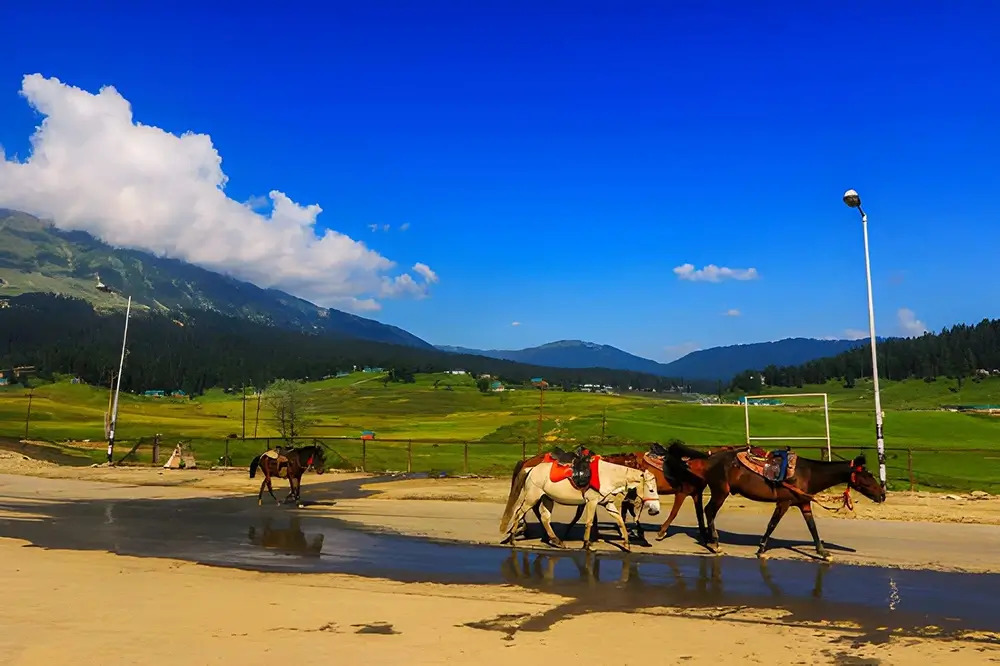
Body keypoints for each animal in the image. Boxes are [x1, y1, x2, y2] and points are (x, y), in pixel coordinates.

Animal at [499, 458, 661, 552]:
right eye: (651, 489)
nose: (656, 510)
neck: (607, 475)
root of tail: (531, 469)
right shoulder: (592, 502)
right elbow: (589, 522)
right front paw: (587, 544)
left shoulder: (607, 503)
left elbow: (620, 521)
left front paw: (626, 544)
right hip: (532, 498)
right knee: (519, 512)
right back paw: (513, 539)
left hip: (547, 498)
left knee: (545, 518)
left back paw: (557, 541)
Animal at [669, 445, 885, 560]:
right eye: (867, 476)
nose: (882, 494)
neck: (807, 474)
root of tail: (708, 458)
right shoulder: (784, 503)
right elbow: (772, 525)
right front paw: (761, 549)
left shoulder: (803, 504)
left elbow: (813, 528)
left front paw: (823, 552)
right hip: (721, 492)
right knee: (709, 511)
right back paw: (714, 543)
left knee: (707, 511)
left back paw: (709, 539)